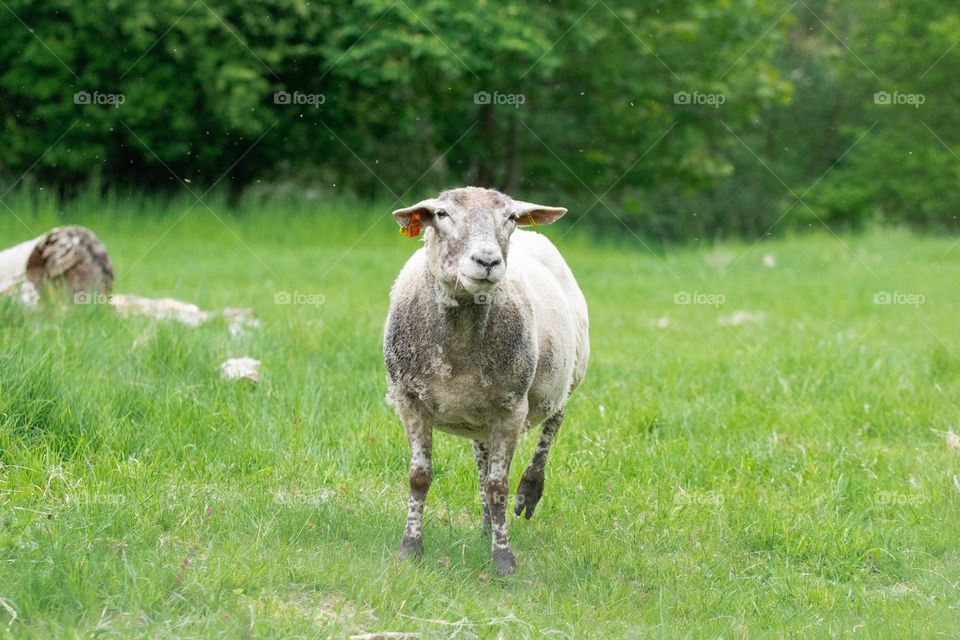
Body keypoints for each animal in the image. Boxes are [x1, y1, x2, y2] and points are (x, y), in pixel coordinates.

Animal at [383, 187, 589, 576]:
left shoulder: (511, 409)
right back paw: (484, 527)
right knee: (481, 459)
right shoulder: (408, 400)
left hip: (569, 374)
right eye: (441, 214)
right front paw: (409, 550)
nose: (488, 261)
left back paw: (529, 492)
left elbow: (498, 487)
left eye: (510, 217)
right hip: (477, 416)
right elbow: (420, 477)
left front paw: (504, 561)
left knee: (553, 423)